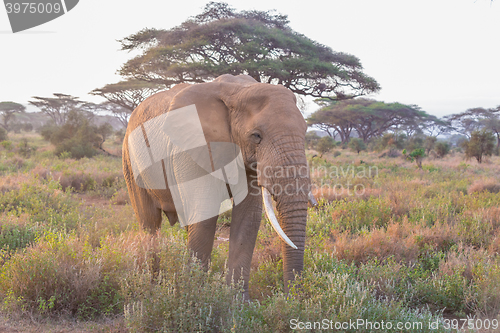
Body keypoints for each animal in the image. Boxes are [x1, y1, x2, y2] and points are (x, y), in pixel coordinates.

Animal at [122, 74, 316, 296]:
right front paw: (195, 295)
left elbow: (248, 218)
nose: (292, 297)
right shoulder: (194, 149)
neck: (238, 91)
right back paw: (150, 287)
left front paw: (237, 300)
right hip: (130, 162)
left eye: (305, 132)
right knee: (149, 222)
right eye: (256, 136)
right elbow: (205, 216)